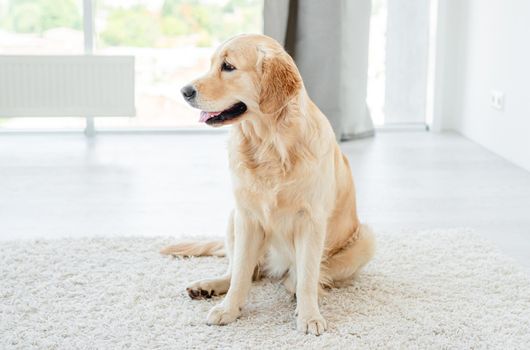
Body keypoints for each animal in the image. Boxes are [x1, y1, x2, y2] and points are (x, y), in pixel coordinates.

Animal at [163, 34, 374, 334]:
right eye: (212, 63)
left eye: (228, 66)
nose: (184, 91)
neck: (269, 145)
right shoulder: (247, 217)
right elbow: (241, 273)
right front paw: (229, 309)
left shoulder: (311, 221)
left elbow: (308, 277)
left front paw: (309, 316)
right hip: (233, 216)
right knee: (242, 271)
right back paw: (208, 286)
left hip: (365, 239)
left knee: (305, 276)